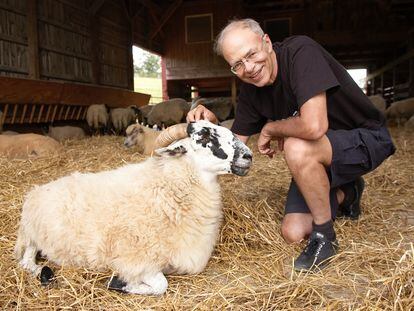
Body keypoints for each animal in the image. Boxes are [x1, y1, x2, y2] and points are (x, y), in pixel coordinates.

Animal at [15, 120, 252, 296]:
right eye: (203, 136)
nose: (248, 156)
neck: (168, 191)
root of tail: (37, 190)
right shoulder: (137, 260)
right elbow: (161, 285)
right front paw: (118, 284)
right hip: (33, 235)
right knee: (26, 261)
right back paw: (43, 272)